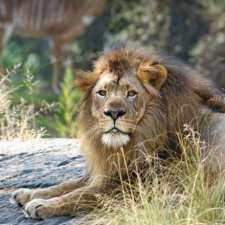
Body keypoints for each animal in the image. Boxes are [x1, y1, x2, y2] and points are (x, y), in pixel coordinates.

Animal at [10, 48, 225, 219]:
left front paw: (41, 205)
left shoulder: (135, 186)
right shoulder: (108, 170)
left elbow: (81, 194)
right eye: (102, 93)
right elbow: (67, 185)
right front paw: (27, 194)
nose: (113, 113)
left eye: (131, 93)